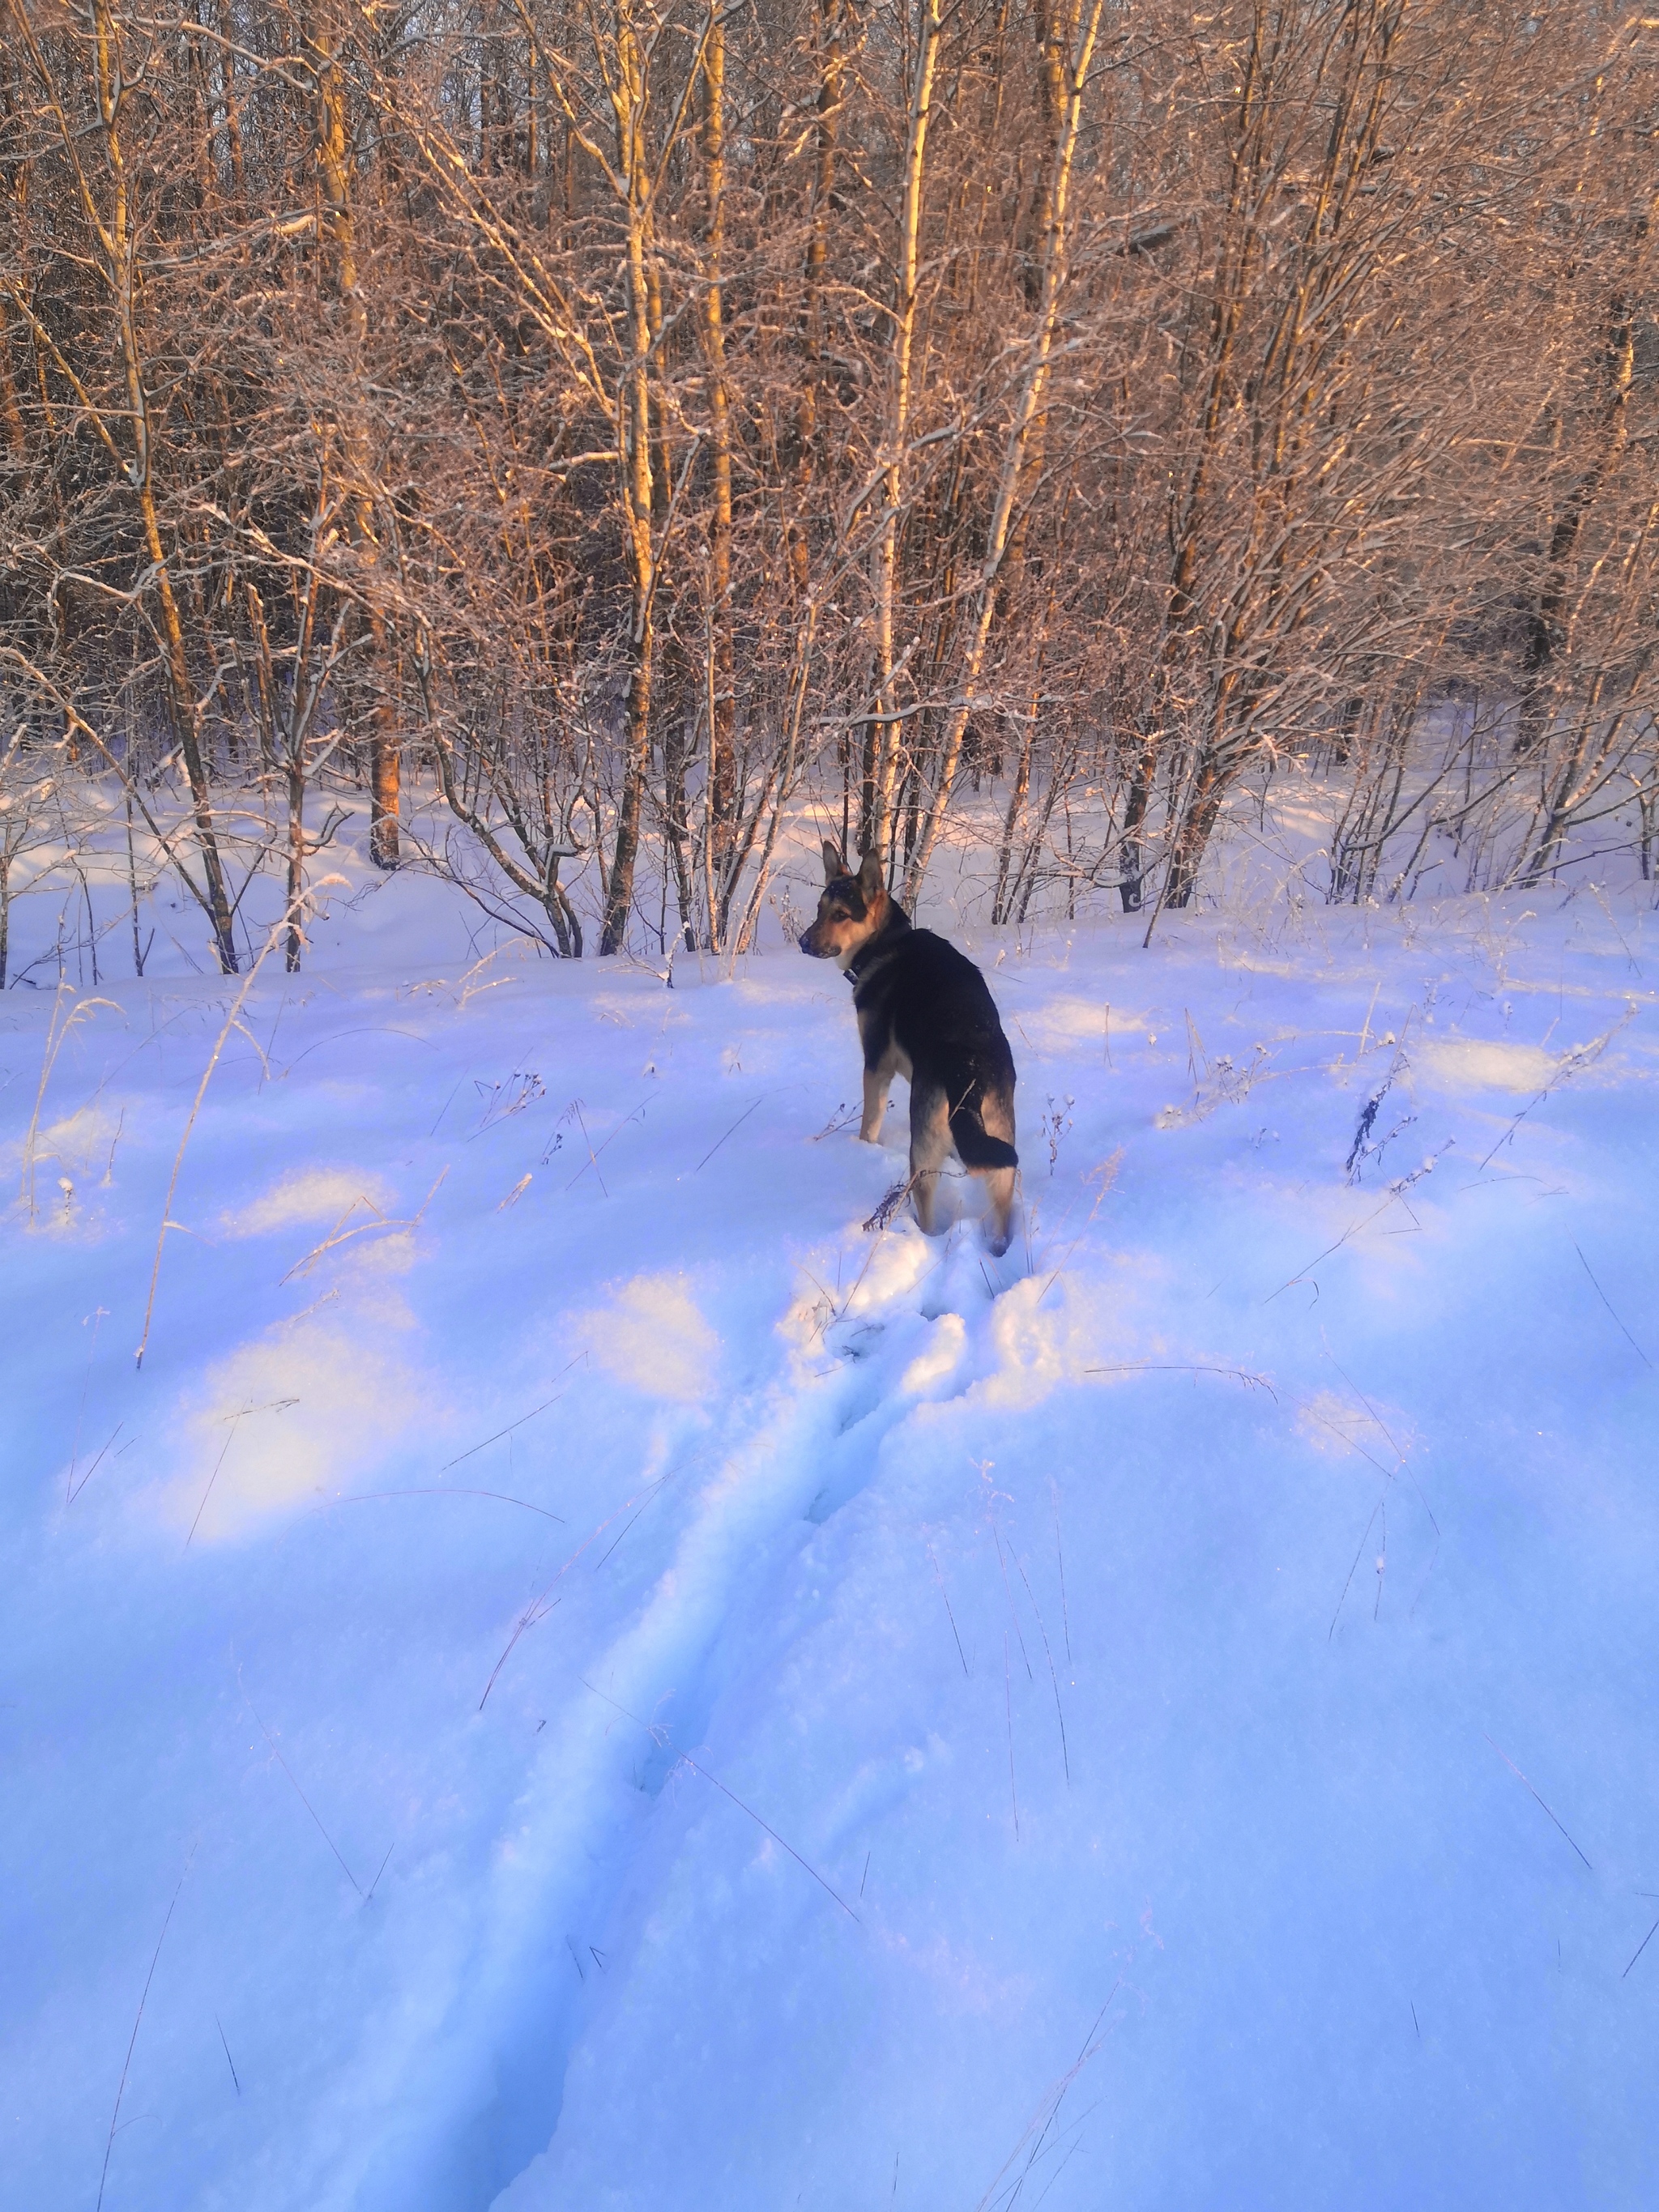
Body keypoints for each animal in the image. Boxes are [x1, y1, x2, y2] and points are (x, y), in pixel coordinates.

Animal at [800, 845, 1021, 1256]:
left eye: (840, 915)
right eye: (819, 909)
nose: (804, 943)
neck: (884, 942)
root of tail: (969, 1068)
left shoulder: (876, 1066)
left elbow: (869, 1123)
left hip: (922, 1155)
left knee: (929, 1214)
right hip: (1001, 1146)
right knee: (1001, 1215)